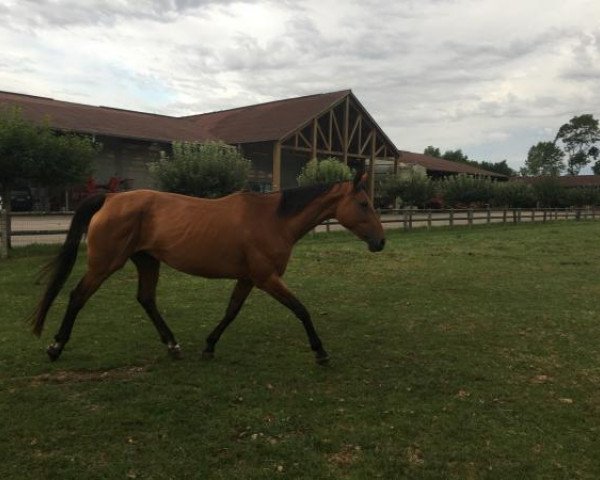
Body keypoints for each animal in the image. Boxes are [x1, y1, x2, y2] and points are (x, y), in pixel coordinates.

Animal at [31, 172, 384, 364]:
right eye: (364, 204)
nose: (380, 242)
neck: (272, 219)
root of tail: (111, 199)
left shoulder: (248, 278)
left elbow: (231, 311)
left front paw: (209, 345)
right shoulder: (266, 278)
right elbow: (301, 309)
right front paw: (320, 351)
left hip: (147, 260)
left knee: (146, 299)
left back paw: (173, 345)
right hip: (105, 264)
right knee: (77, 296)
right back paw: (55, 347)